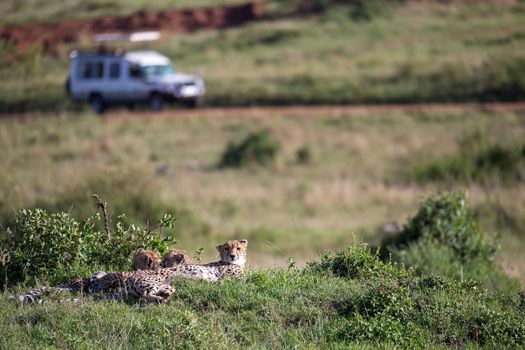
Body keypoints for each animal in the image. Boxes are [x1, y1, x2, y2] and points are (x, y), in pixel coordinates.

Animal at [11, 238, 248, 304]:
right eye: (227, 248)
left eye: (238, 247)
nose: (233, 256)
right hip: (152, 283)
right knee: (147, 295)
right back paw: (161, 297)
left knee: (145, 297)